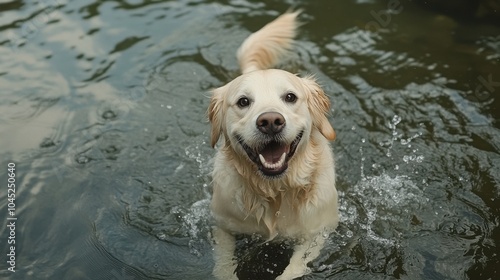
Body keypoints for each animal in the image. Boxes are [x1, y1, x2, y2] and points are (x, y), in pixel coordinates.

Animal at [207, 10, 340, 280]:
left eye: (290, 97)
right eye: (243, 101)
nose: (270, 122)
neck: (275, 191)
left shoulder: (317, 232)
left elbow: (294, 270)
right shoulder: (223, 226)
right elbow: (223, 267)